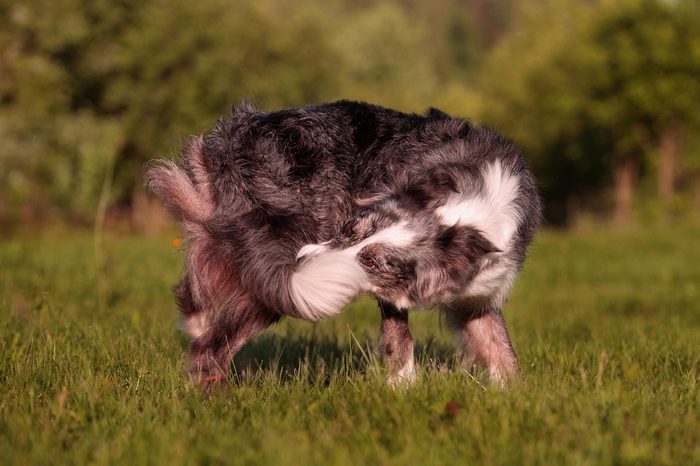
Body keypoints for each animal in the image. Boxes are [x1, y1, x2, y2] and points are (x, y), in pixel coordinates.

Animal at [146, 101, 540, 386]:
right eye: (350, 228)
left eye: (371, 260)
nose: (305, 257)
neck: (468, 213)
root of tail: (232, 139)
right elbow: (400, 338)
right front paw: (403, 389)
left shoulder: (478, 297)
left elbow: (501, 350)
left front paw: (513, 399)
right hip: (281, 270)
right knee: (211, 347)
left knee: (194, 289)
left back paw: (196, 323)